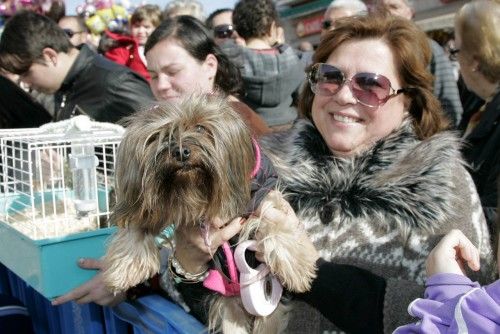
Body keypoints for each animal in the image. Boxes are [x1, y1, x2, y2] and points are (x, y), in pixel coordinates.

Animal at [101, 94, 316, 334]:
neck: (195, 188)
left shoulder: (261, 193)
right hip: (229, 305)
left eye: (201, 128)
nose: (181, 152)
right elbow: (137, 223)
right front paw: (123, 269)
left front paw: (296, 267)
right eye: (160, 136)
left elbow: (273, 219)